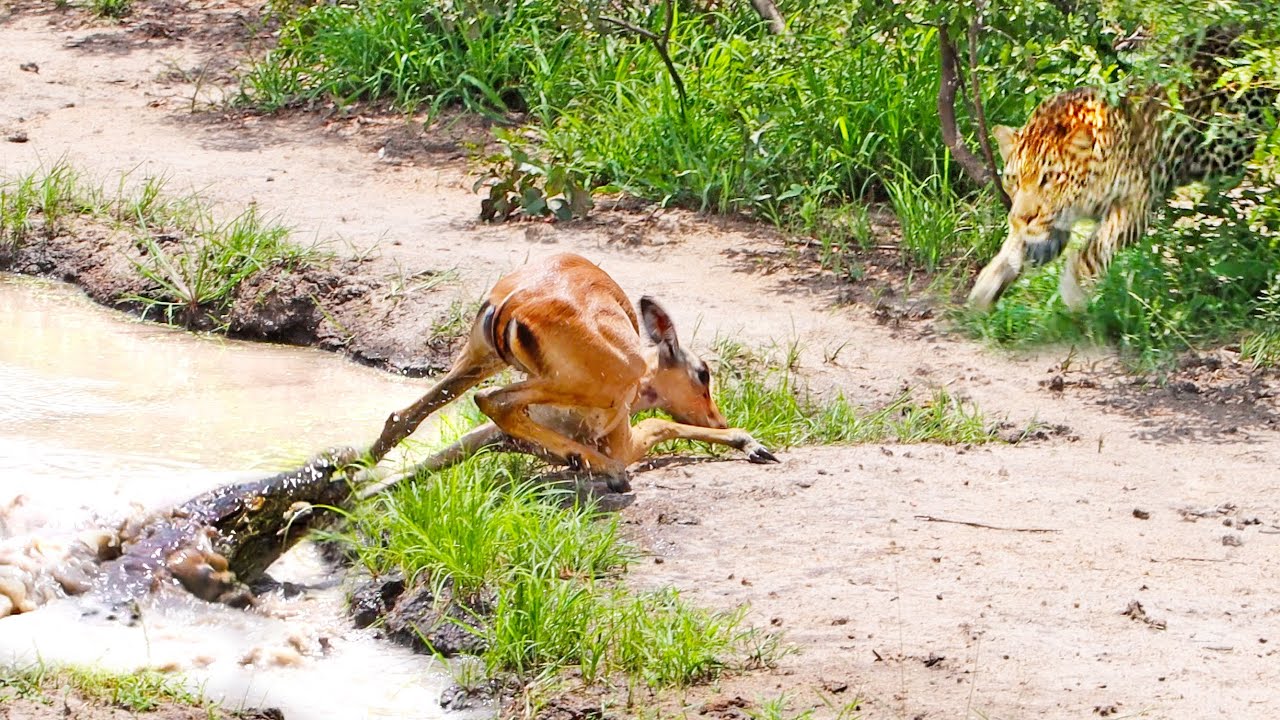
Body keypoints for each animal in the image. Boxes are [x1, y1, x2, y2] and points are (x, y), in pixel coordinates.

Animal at [365, 253, 778, 492]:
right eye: (703, 374)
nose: (718, 419)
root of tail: (513, 304)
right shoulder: (622, 435)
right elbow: (662, 425)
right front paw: (752, 444)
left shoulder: (488, 439)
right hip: (585, 387)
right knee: (491, 399)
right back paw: (607, 472)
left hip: (480, 361)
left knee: (404, 416)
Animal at [968, 32, 1276, 313]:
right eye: (1013, 180)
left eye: (1050, 178)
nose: (1023, 217)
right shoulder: (1051, 225)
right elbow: (1018, 245)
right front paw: (989, 283)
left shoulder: (1136, 201)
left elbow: (1097, 247)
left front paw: (1074, 289)